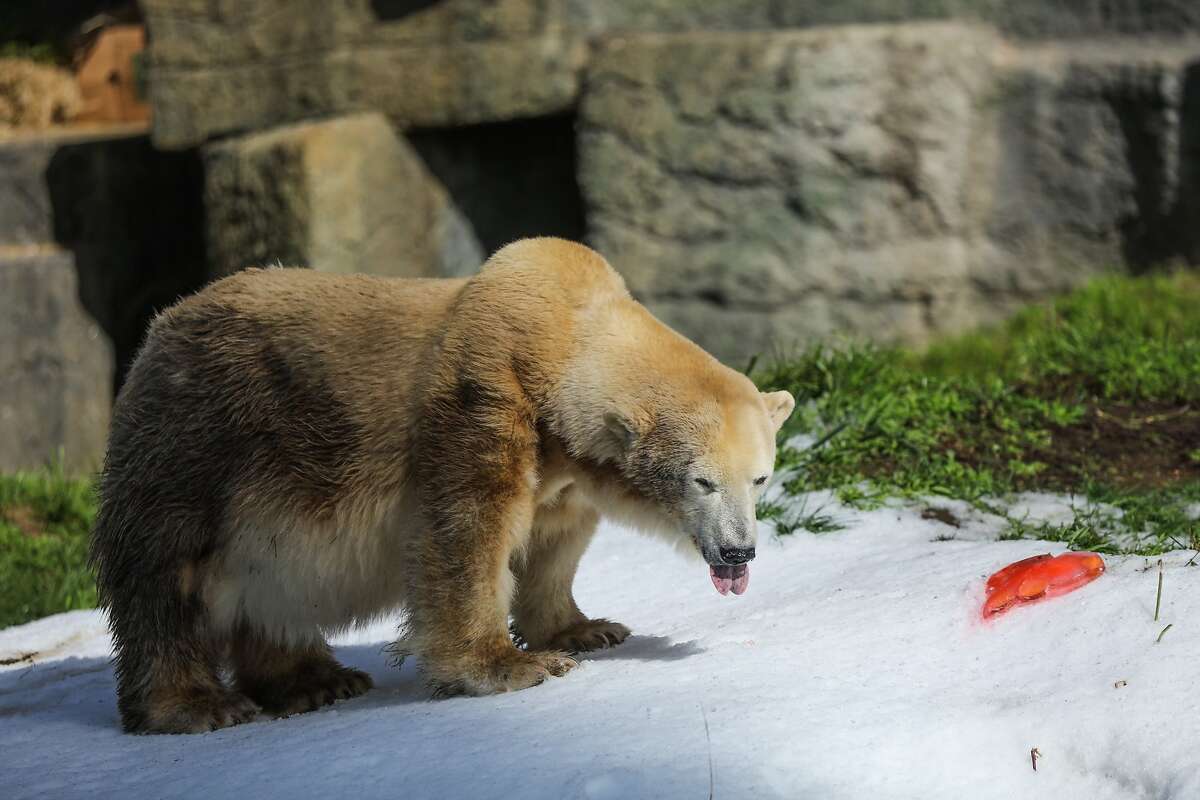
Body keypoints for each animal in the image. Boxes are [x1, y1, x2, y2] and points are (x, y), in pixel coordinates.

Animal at [89, 237, 796, 733]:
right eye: (701, 480)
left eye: (760, 477)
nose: (739, 551)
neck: (559, 331)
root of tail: (155, 334)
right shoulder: (481, 399)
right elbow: (466, 534)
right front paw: (511, 667)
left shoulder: (565, 468)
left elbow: (554, 541)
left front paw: (585, 629)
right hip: (202, 446)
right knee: (169, 580)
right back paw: (199, 704)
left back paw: (314, 681)